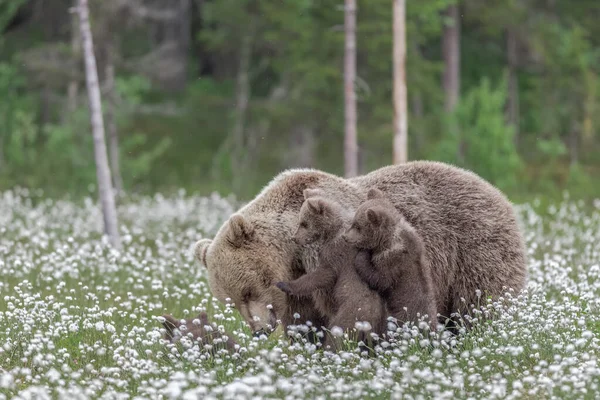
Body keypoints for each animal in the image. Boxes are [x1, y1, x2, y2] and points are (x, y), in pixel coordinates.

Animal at [195, 161, 528, 336]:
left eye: (248, 290)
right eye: (230, 302)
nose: (260, 330)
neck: (293, 254)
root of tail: (496, 192)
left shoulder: (331, 256)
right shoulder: (298, 291)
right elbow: (306, 322)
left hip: (473, 247)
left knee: (481, 299)